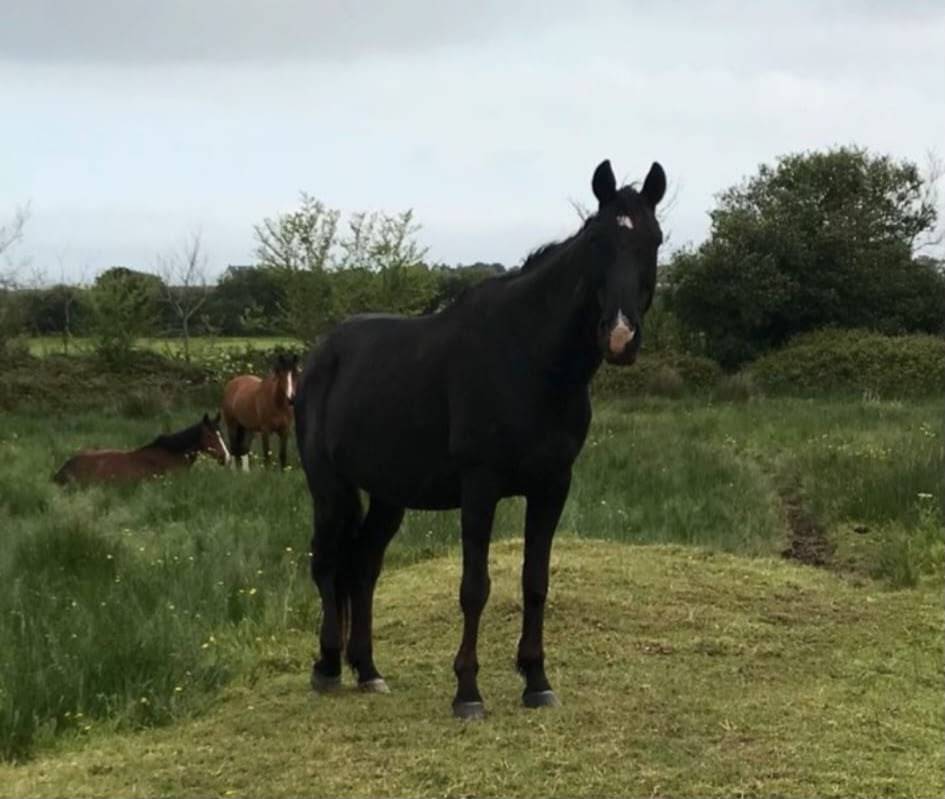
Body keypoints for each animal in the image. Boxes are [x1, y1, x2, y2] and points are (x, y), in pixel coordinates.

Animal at [294, 158, 666, 718]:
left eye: (654, 240)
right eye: (597, 241)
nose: (620, 337)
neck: (529, 360)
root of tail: (318, 357)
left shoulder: (553, 486)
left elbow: (536, 583)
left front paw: (536, 680)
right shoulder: (480, 487)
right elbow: (474, 587)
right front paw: (468, 691)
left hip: (388, 494)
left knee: (363, 567)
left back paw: (369, 670)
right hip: (329, 487)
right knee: (327, 564)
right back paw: (328, 666)